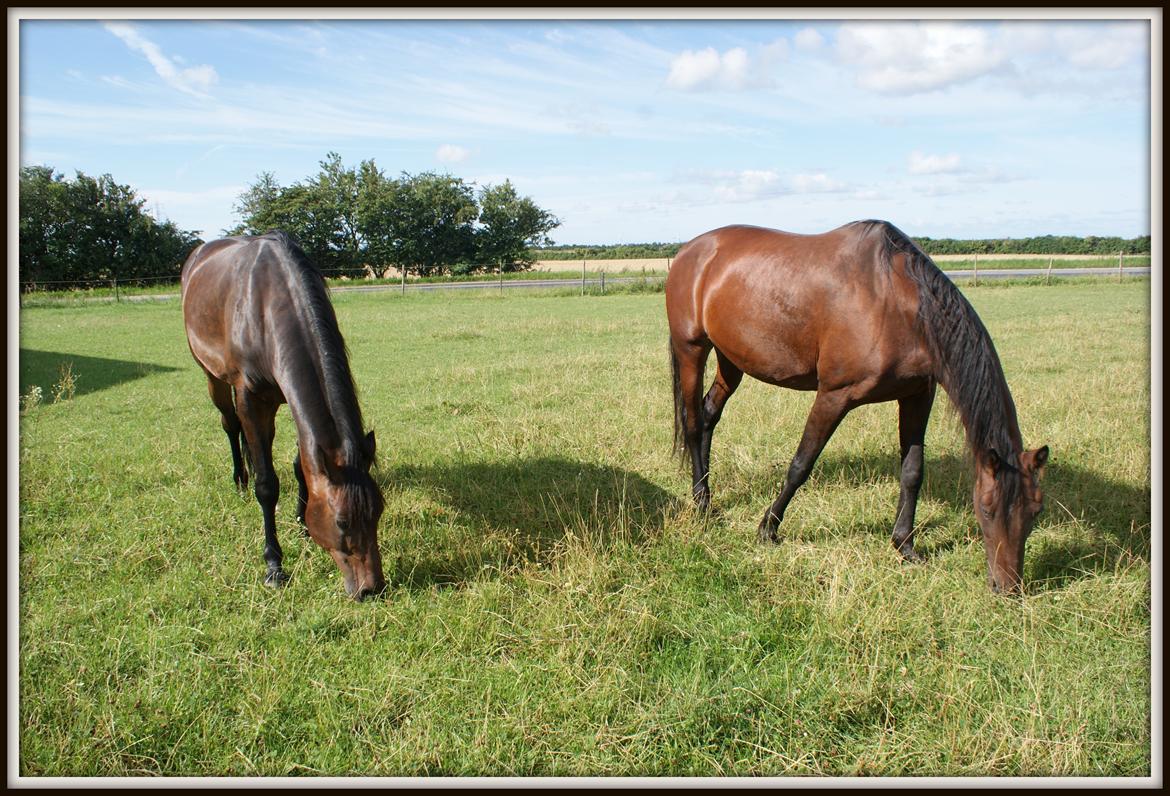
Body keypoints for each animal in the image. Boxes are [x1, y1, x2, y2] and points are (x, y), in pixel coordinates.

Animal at [180, 232, 386, 599]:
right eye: (342, 522)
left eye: (379, 510)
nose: (371, 589)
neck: (265, 306)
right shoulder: (250, 398)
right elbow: (267, 484)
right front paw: (274, 565)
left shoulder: (289, 397)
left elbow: (302, 463)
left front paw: (302, 522)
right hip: (213, 376)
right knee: (230, 425)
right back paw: (239, 480)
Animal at [669, 221, 1053, 594]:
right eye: (986, 509)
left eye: (1036, 510)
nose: (1009, 588)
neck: (897, 303)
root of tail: (690, 250)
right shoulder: (834, 395)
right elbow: (800, 465)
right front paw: (768, 528)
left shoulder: (917, 396)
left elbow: (913, 471)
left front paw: (905, 545)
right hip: (692, 349)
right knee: (693, 422)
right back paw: (701, 503)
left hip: (732, 359)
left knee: (709, 415)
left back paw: (706, 492)